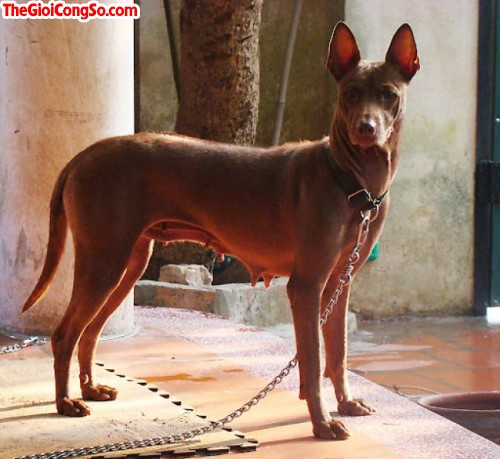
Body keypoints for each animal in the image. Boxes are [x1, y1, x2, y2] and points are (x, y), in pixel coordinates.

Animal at [22, 22, 419, 440]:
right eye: (350, 93)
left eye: (388, 94)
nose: (365, 128)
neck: (350, 181)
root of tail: (84, 154)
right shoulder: (306, 287)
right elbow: (311, 364)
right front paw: (322, 422)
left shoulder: (339, 285)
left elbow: (338, 354)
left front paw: (345, 404)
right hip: (104, 262)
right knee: (65, 334)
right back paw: (65, 402)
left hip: (128, 263)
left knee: (90, 332)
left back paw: (90, 388)